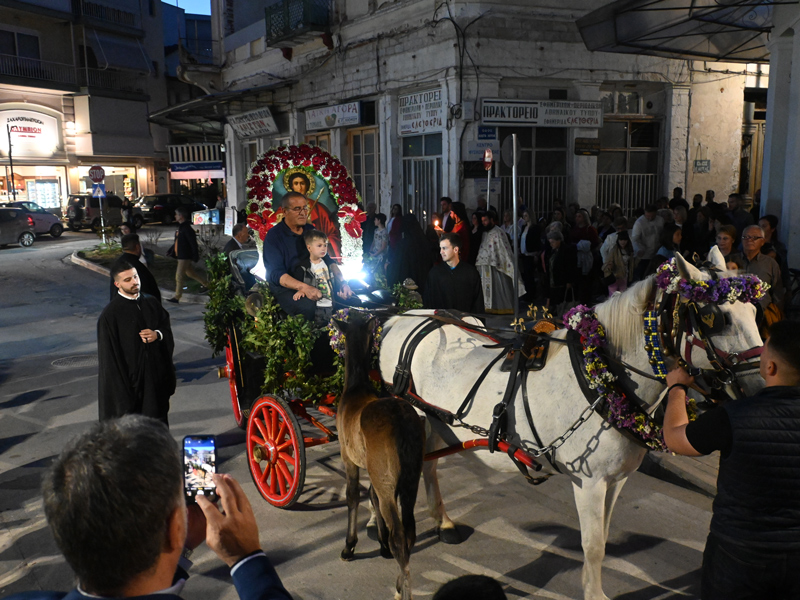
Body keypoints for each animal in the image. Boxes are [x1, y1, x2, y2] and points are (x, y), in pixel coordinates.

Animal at [378, 246, 764, 596]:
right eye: (716, 316)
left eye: (754, 310)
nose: (761, 385)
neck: (604, 379)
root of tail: (401, 318)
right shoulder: (589, 482)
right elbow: (592, 547)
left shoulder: (616, 479)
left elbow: (603, 539)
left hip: (436, 422)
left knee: (429, 465)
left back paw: (442, 521)